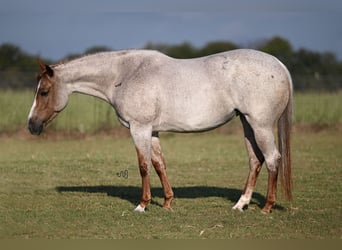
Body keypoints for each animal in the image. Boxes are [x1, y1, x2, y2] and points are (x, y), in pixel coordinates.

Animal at [28, 49, 292, 213]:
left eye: (44, 92)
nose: (31, 125)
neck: (124, 74)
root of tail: (279, 65)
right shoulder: (152, 131)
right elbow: (158, 164)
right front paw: (167, 202)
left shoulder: (139, 128)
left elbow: (144, 166)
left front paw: (142, 205)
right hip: (247, 124)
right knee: (255, 161)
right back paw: (240, 204)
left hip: (260, 126)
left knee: (272, 159)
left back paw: (267, 207)